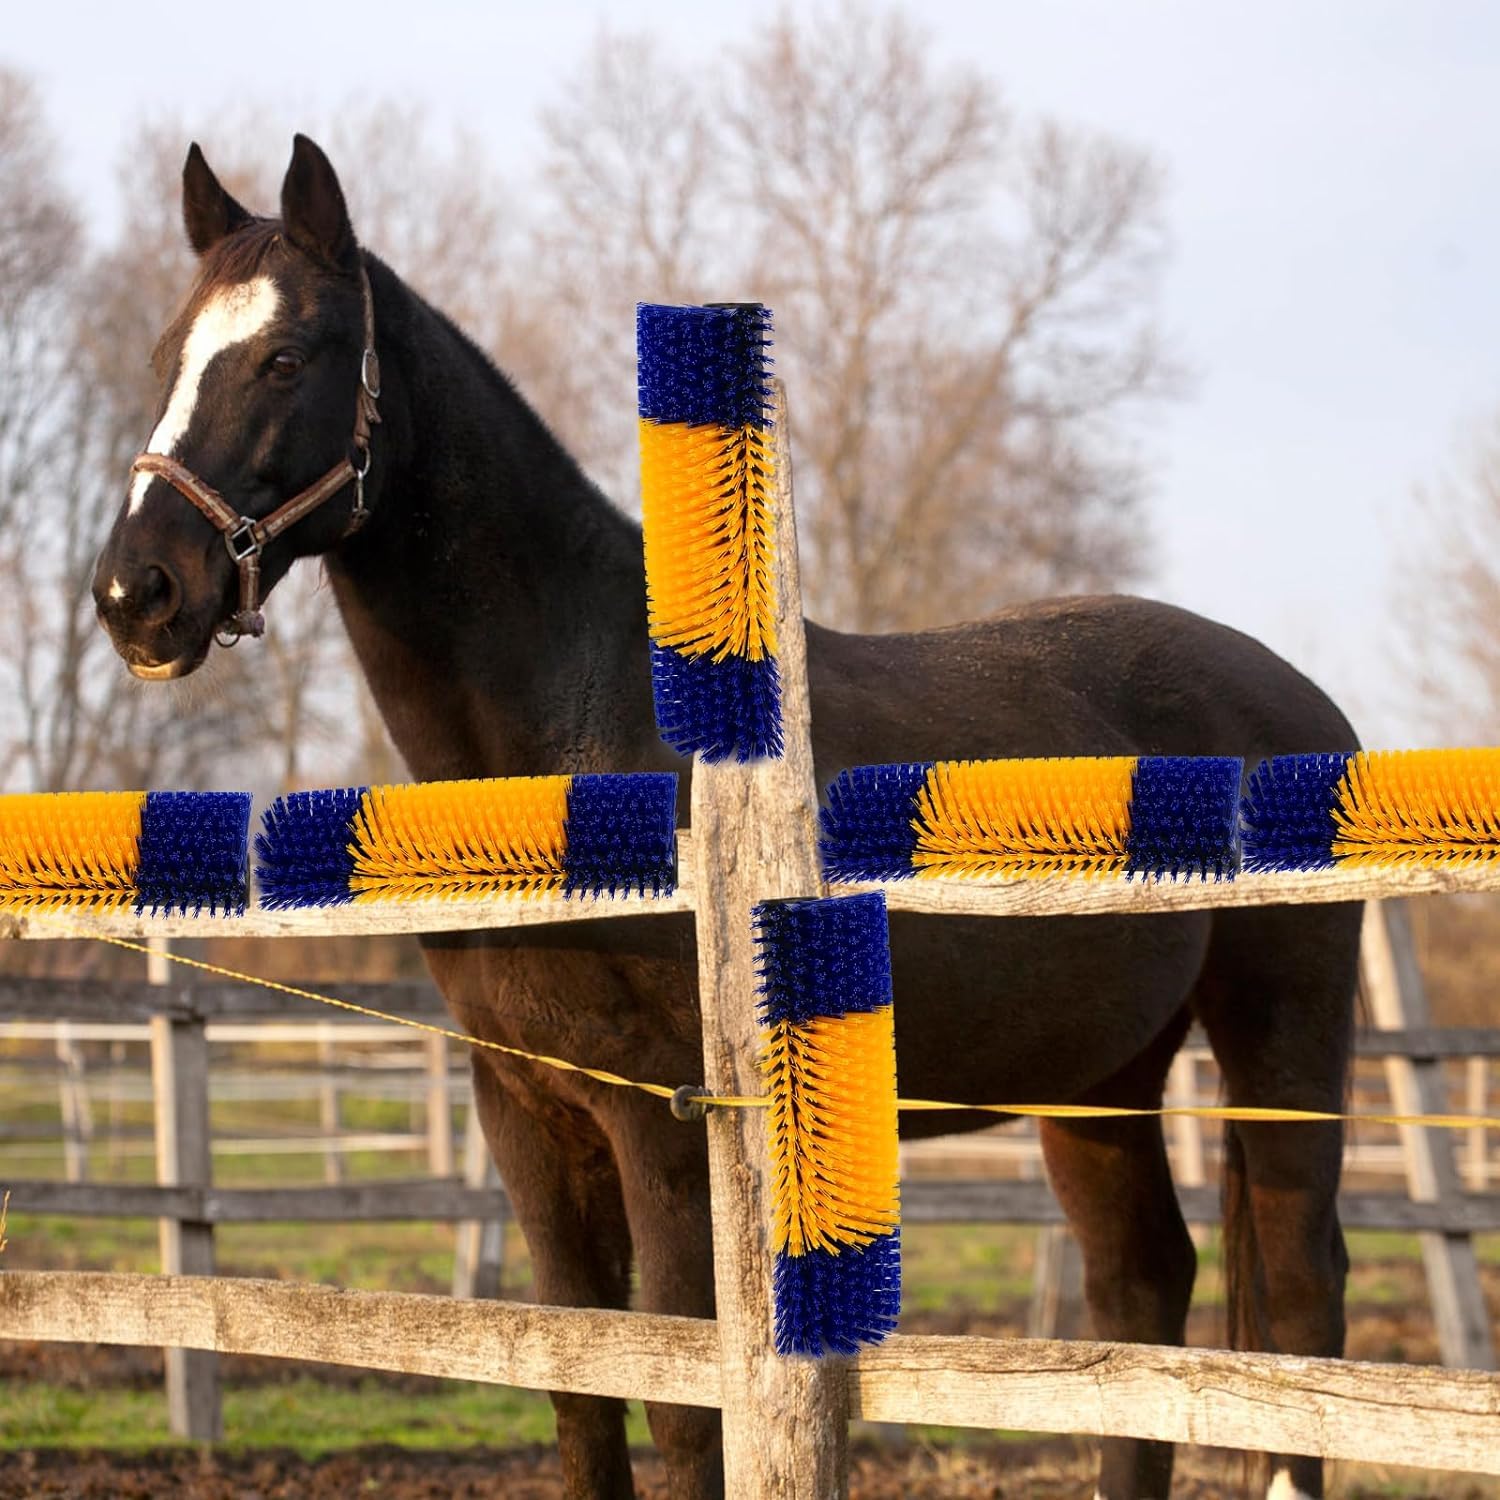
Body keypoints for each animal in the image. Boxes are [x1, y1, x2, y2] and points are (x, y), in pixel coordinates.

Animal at [92, 134, 1360, 1500]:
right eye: (165, 356)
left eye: (287, 355)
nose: (136, 593)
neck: (585, 732)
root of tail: (1305, 701)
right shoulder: (528, 1114)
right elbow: (579, 1391)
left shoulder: (663, 1122)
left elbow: (683, 1405)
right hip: (1101, 1079)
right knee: (1140, 1292)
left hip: (1279, 1042)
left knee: (1301, 1297)